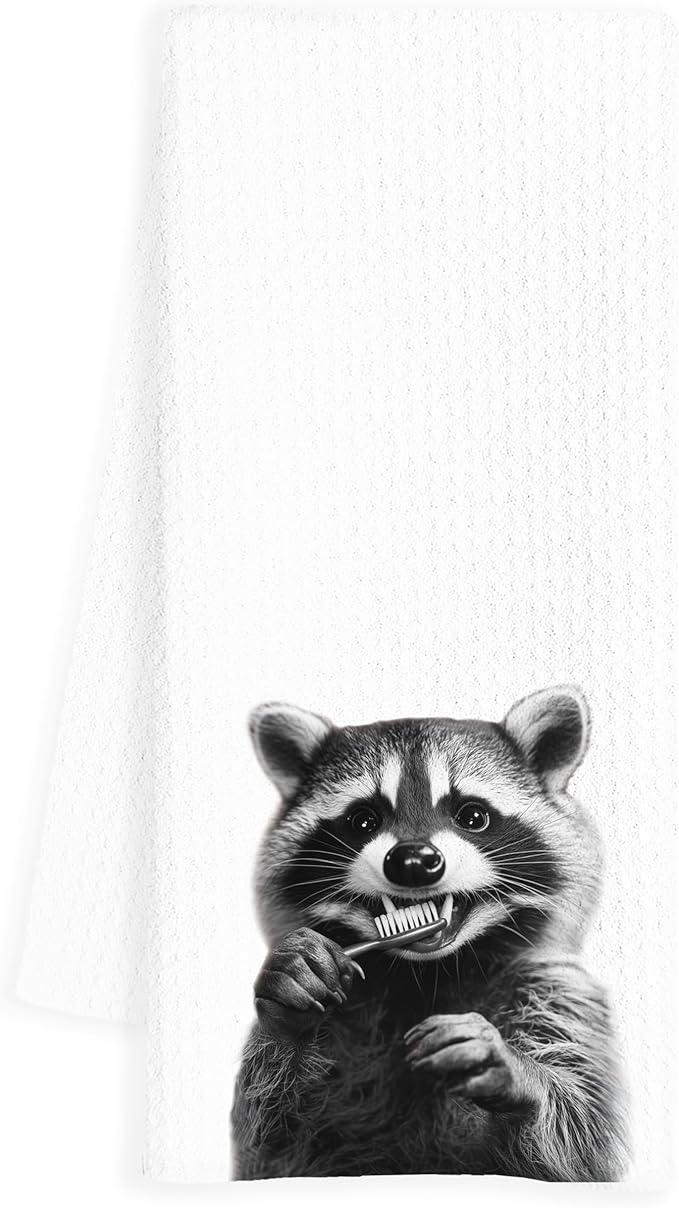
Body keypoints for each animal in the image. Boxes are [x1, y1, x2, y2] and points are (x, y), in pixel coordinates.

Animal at [231, 687, 629, 1181]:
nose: (413, 861)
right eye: (363, 820)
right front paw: (290, 1014)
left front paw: (522, 1076)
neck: (428, 972)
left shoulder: (559, 992)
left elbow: (581, 1140)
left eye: (473, 816)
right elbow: (274, 1142)